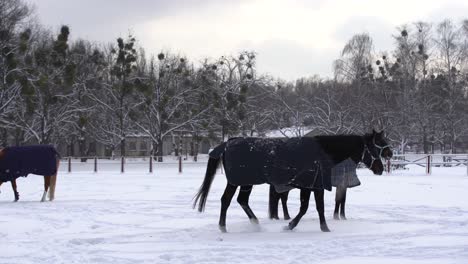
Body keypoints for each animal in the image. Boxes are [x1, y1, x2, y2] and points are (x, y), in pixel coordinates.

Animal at [193, 131, 388, 232]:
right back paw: (224, 227)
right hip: (238, 182)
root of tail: (228, 143)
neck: (321, 153)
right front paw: (294, 225)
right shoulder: (312, 187)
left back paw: (254, 224)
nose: (380, 168)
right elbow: (309, 207)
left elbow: (312, 207)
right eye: (374, 147)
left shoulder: (310, 187)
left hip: (246, 184)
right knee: (226, 200)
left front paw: (319, 227)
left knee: (241, 201)